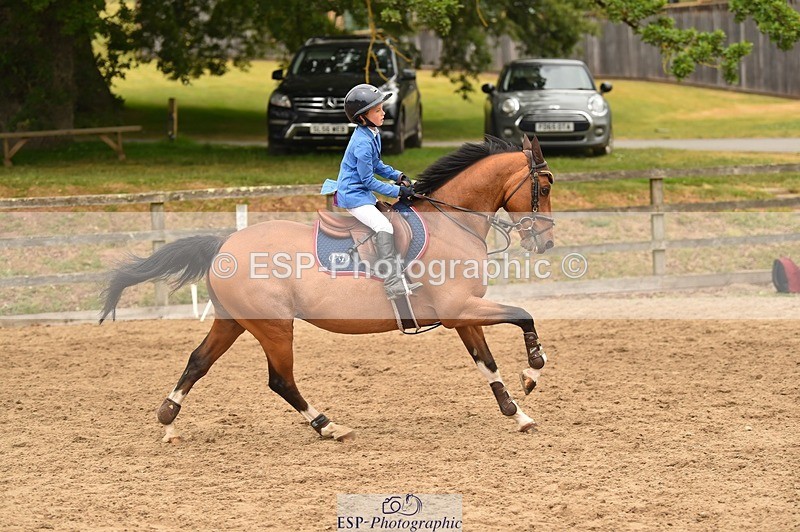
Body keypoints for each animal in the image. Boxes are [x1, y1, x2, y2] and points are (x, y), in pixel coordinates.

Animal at [100, 135, 555, 442]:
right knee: (280, 380)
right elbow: (523, 317)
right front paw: (532, 372)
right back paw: (328, 425)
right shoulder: (461, 307)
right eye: (546, 186)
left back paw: (168, 420)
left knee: (198, 362)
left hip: (233, 321)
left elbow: (487, 363)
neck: (451, 222)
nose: (546, 242)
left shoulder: (463, 312)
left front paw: (517, 413)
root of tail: (224, 244)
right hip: (274, 327)